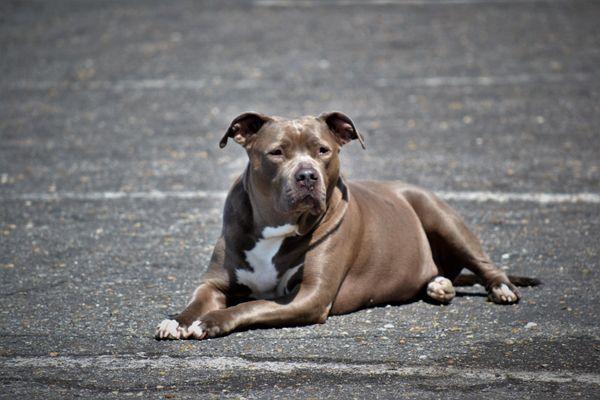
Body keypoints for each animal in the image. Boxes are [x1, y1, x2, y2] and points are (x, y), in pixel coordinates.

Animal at [155, 111, 540, 340]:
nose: (307, 176)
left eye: (323, 150)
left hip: (439, 214)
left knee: (485, 264)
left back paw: (500, 289)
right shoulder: (214, 283)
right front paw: (179, 319)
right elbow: (198, 300)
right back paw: (438, 285)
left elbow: (250, 305)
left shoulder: (310, 295)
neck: (275, 227)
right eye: (277, 152)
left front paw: (210, 322)